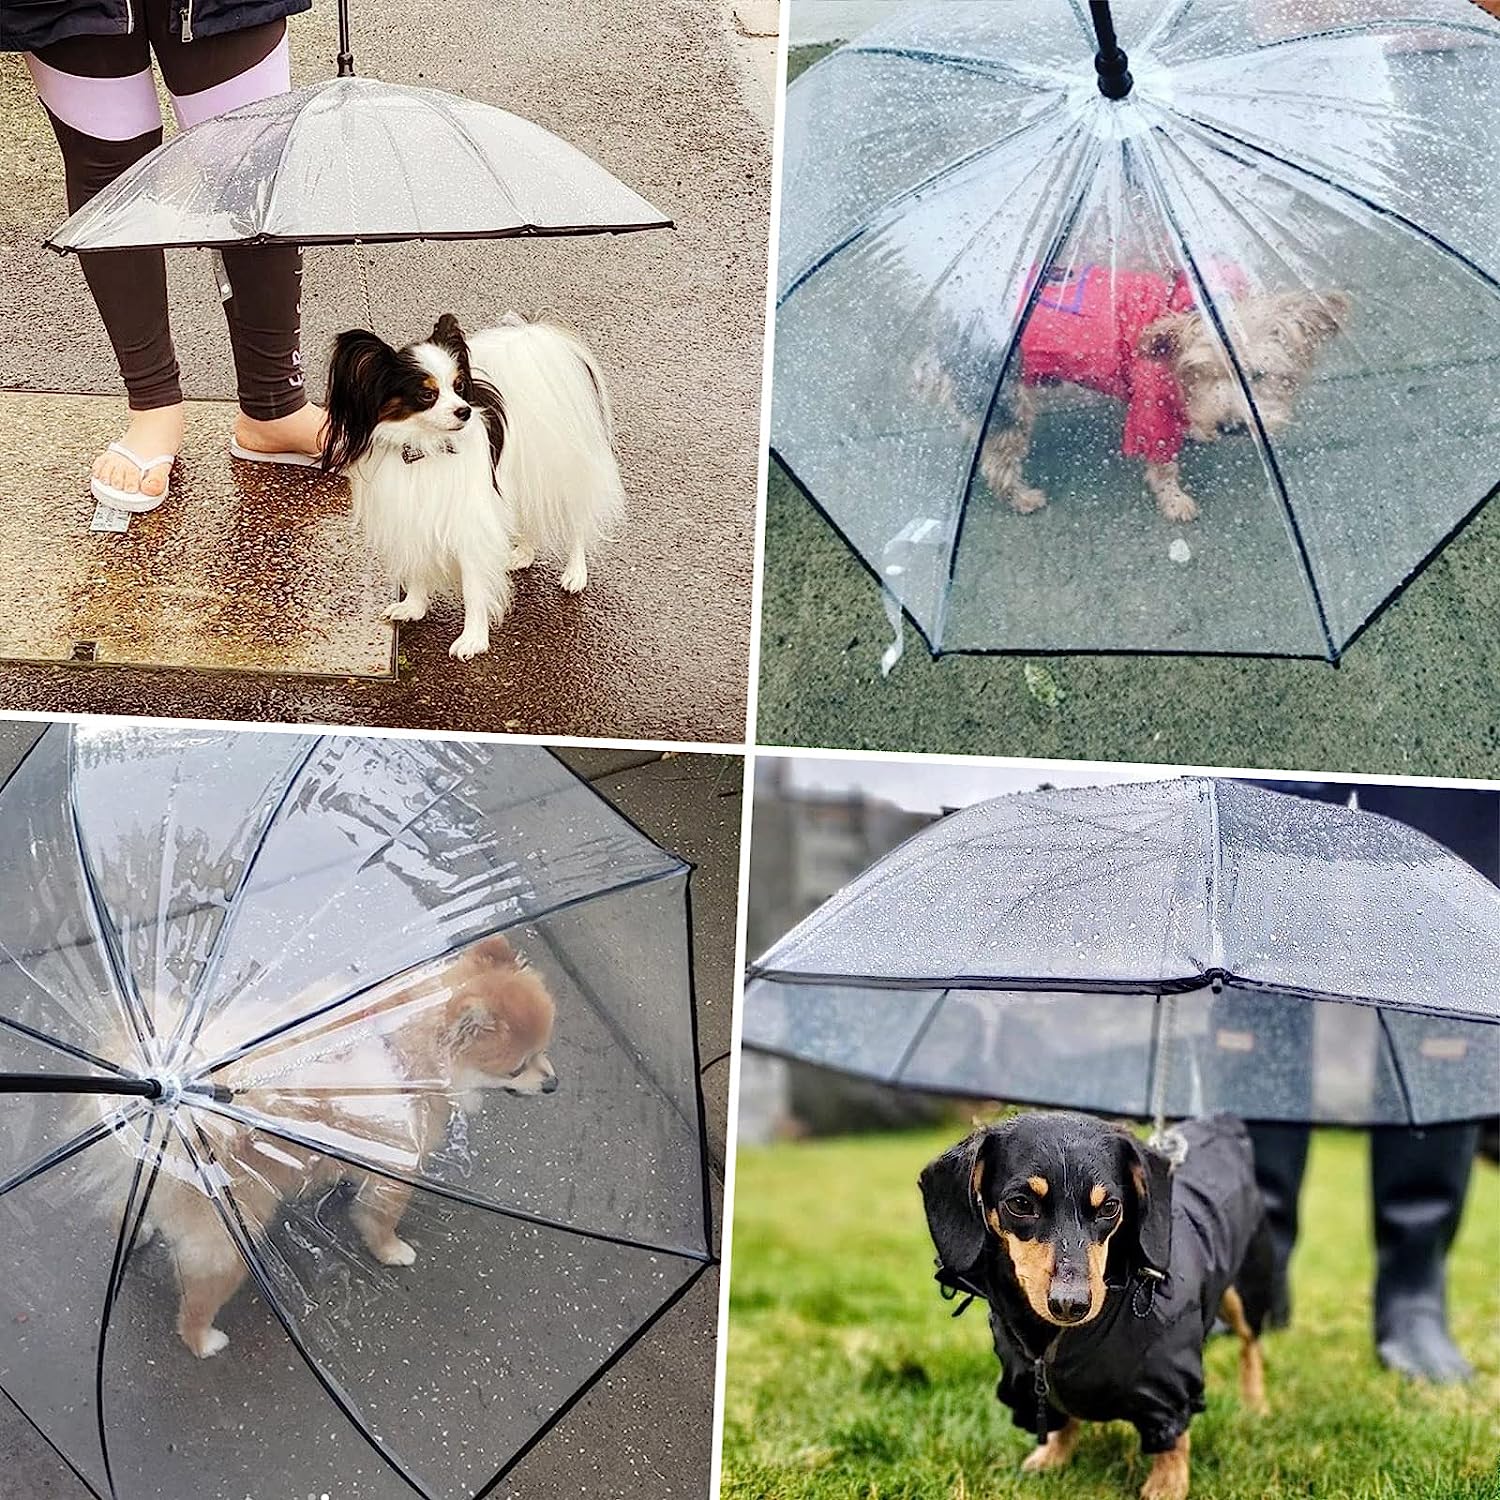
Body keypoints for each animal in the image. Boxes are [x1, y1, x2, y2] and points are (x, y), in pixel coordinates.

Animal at [104, 936, 558, 1362]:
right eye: (518, 1067)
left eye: (543, 1051)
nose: (553, 1083)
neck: (413, 1048)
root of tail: (175, 1106)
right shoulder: (399, 1167)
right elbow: (381, 1219)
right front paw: (391, 1250)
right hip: (229, 1239)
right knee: (197, 1302)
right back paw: (204, 1340)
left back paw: (138, 1234)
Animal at [319, 313, 624, 660]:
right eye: (427, 395)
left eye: (458, 386)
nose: (464, 410)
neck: (426, 448)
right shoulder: (411, 518)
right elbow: (417, 567)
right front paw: (413, 607)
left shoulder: (470, 527)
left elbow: (474, 587)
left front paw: (473, 639)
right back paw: (522, 554)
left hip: (561, 475)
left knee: (577, 524)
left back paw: (575, 573)